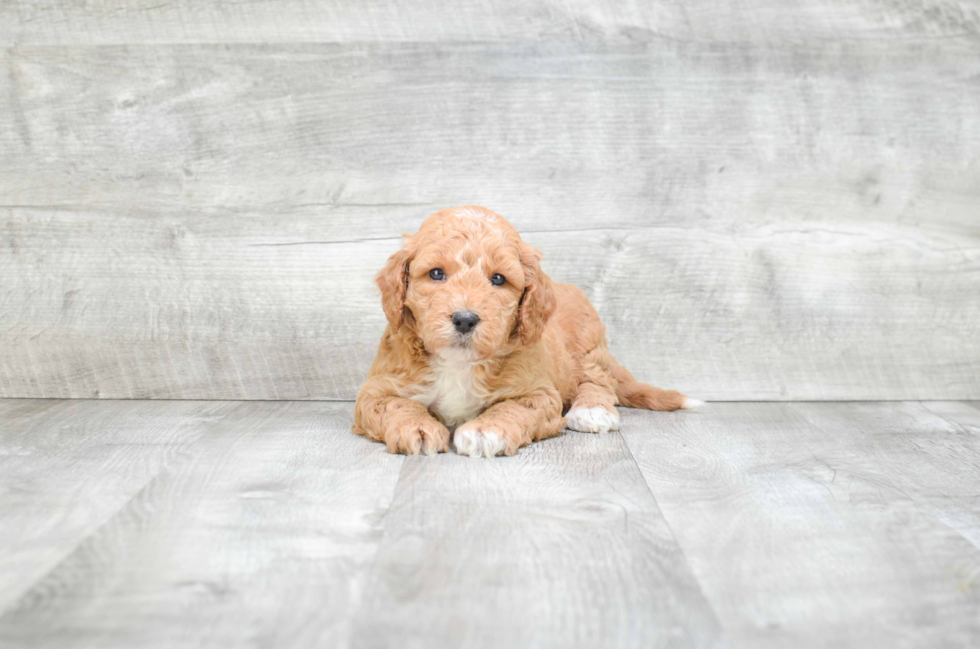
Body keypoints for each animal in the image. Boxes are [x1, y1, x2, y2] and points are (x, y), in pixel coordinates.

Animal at [356, 206, 700, 456]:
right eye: (436, 274)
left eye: (498, 279)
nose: (465, 319)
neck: (459, 363)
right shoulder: (376, 389)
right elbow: (396, 404)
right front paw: (417, 427)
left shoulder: (538, 393)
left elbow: (512, 407)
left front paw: (484, 431)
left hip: (589, 342)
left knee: (598, 380)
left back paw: (592, 410)